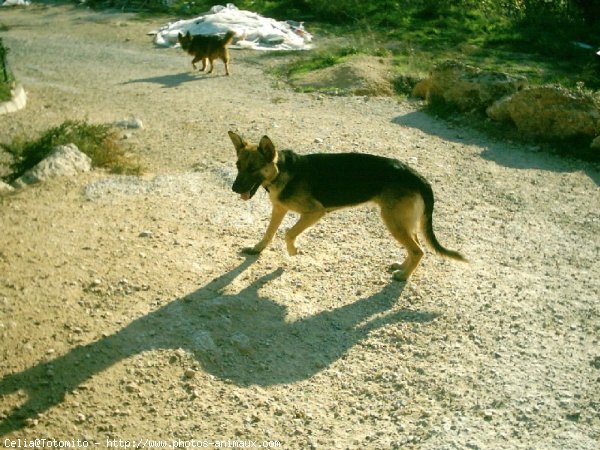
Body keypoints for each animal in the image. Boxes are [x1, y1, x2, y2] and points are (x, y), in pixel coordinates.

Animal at [227, 129, 466, 282]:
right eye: (238, 165)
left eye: (253, 168)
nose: (234, 189)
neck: (282, 170)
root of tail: (416, 176)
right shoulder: (279, 210)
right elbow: (268, 233)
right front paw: (257, 249)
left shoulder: (315, 212)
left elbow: (287, 233)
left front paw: (293, 251)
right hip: (402, 222)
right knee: (414, 245)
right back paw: (401, 266)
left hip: (393, 221)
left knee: (418, 250)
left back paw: (403, 276)